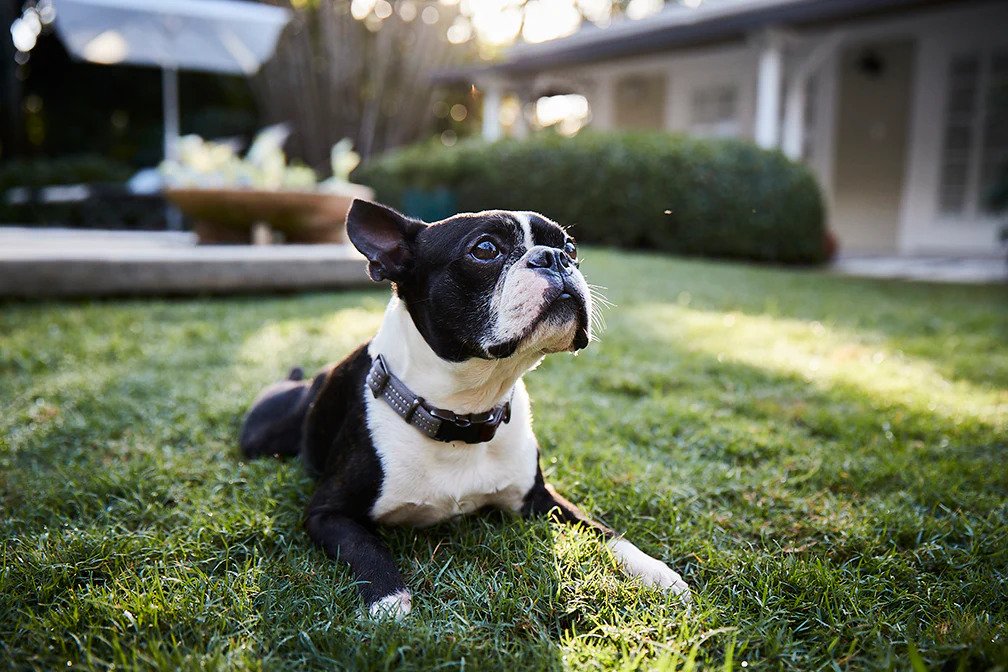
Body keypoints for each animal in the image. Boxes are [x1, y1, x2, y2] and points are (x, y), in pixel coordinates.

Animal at [239, 199, 689, 620]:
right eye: (485, 249)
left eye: (571, 248)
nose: (554, 257)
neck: (464, 414)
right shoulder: (326, 513)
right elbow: (364, 544)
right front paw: (389, 601)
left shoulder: (539, 498)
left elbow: (603, 529)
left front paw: (656, 571)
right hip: (264, 436)